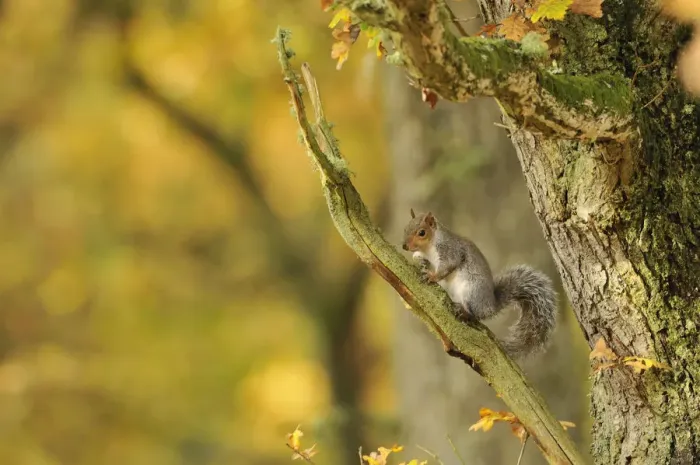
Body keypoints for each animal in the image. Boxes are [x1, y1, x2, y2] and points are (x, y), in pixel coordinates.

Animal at [402, 209, 557, 359]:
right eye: (405, 228)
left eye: (422, 232)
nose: (404, 246)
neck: (429, 247)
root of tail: (491, 305)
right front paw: (419, 261)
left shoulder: (449, 250)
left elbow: (448, 266)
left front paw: (432, 276)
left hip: (471, 291)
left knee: (475, 315)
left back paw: (463, 311)